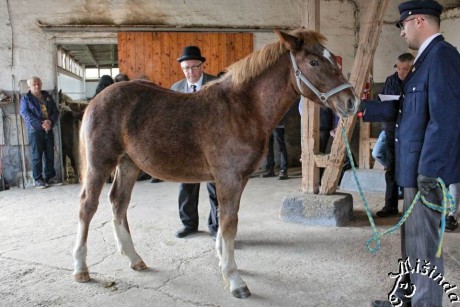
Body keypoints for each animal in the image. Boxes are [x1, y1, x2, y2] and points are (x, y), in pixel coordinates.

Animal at [72, 28, 360, 298]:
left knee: (118, 203)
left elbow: (223, 220)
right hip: (100, 163)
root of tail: (96, 100)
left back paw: (134, 259)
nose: (351, 102)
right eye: (314, 62)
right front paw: (235, 281)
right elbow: (230, 223)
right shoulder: (228, 179)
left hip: (129, 164)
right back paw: (80, 269)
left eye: (333, 58)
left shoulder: (237, 180)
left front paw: (223, 263)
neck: (242, 110)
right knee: (88, 206)